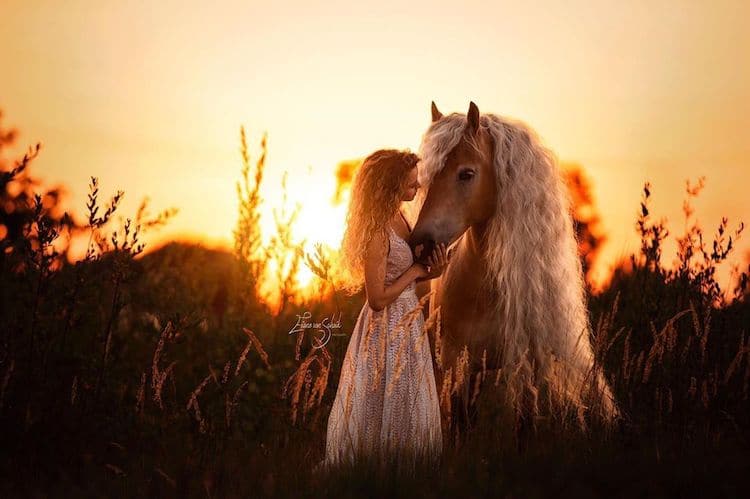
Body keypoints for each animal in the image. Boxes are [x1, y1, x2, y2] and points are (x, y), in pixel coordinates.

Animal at [406, 100, 624, 442]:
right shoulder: (457, 365)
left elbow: (523, 427)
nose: (420, 245)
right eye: (426, 176)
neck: (483, 291)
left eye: (466, 173)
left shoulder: (523, 365)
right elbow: (459, 428)